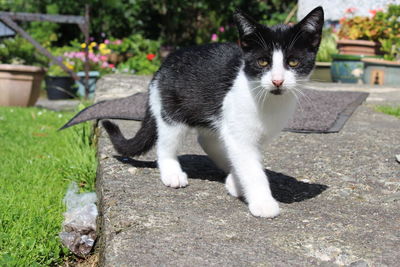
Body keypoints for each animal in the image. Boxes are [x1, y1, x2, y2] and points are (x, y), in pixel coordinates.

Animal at [101, 7, 324, 219]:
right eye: (263, 62)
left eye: (293, 62)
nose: (278, 81)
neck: (269, 102)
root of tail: (163, 66)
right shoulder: (240, 135)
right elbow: (252, 169)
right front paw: (263, 203)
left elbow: (248, 160)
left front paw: (236, 182)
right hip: (172, 111)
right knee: (166, 143)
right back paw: (172, 172)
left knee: (209, 139)